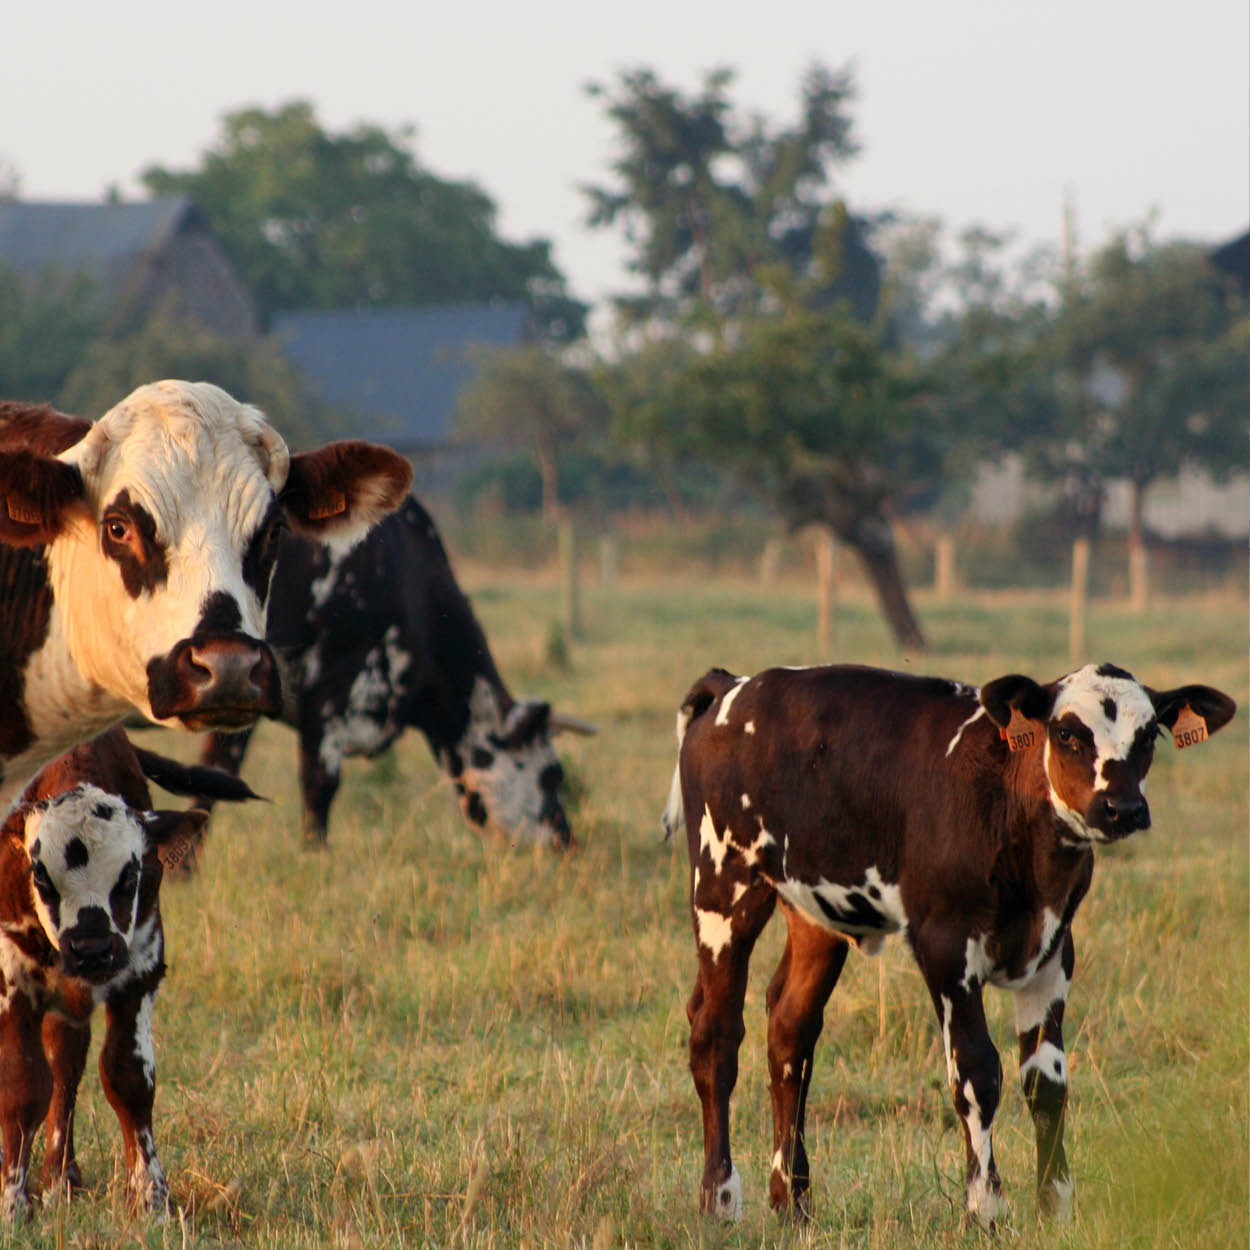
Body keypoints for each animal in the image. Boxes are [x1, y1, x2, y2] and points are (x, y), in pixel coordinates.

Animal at [0, 725, 260, 1220]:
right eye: (41, 876)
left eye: (130, 877)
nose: (92, 951)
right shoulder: (14, 981)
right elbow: (23, 1086)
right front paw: (13, 1201)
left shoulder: (140, 970)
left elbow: (129, 1079)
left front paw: (151, 1197)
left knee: (67, 1062)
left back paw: (62, 1175)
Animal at [670, 660, 1235, 1225]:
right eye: (1068, 733)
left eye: (1149, 735)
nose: (1123, 807)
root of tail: (734, 685)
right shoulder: (945, 947)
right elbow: (977, 1072)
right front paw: (986, 1208)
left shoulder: (1054, 953)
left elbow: (1046, 1082)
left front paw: (1055, 1206)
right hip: (723, 887)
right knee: (716, 1032)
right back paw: (720, 1198)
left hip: (816, 914)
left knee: (790, 1030)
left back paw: (793, 1199)